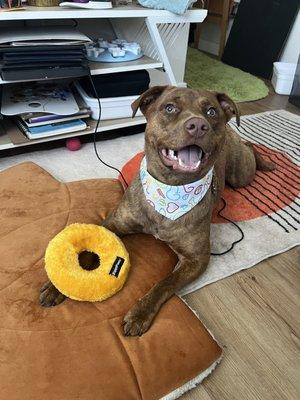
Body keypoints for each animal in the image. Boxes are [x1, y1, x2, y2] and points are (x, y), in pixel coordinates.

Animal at [39, 86, 274, 334]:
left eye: (211, 111)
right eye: (169, 108)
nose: (198, 125)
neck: (171, 189)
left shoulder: (196, 259)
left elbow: (165, 283)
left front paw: (139, 314)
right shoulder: (113, 223)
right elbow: (88, 250)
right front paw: (57, 286)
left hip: (241, 175)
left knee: (249, 149)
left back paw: (266, 161)